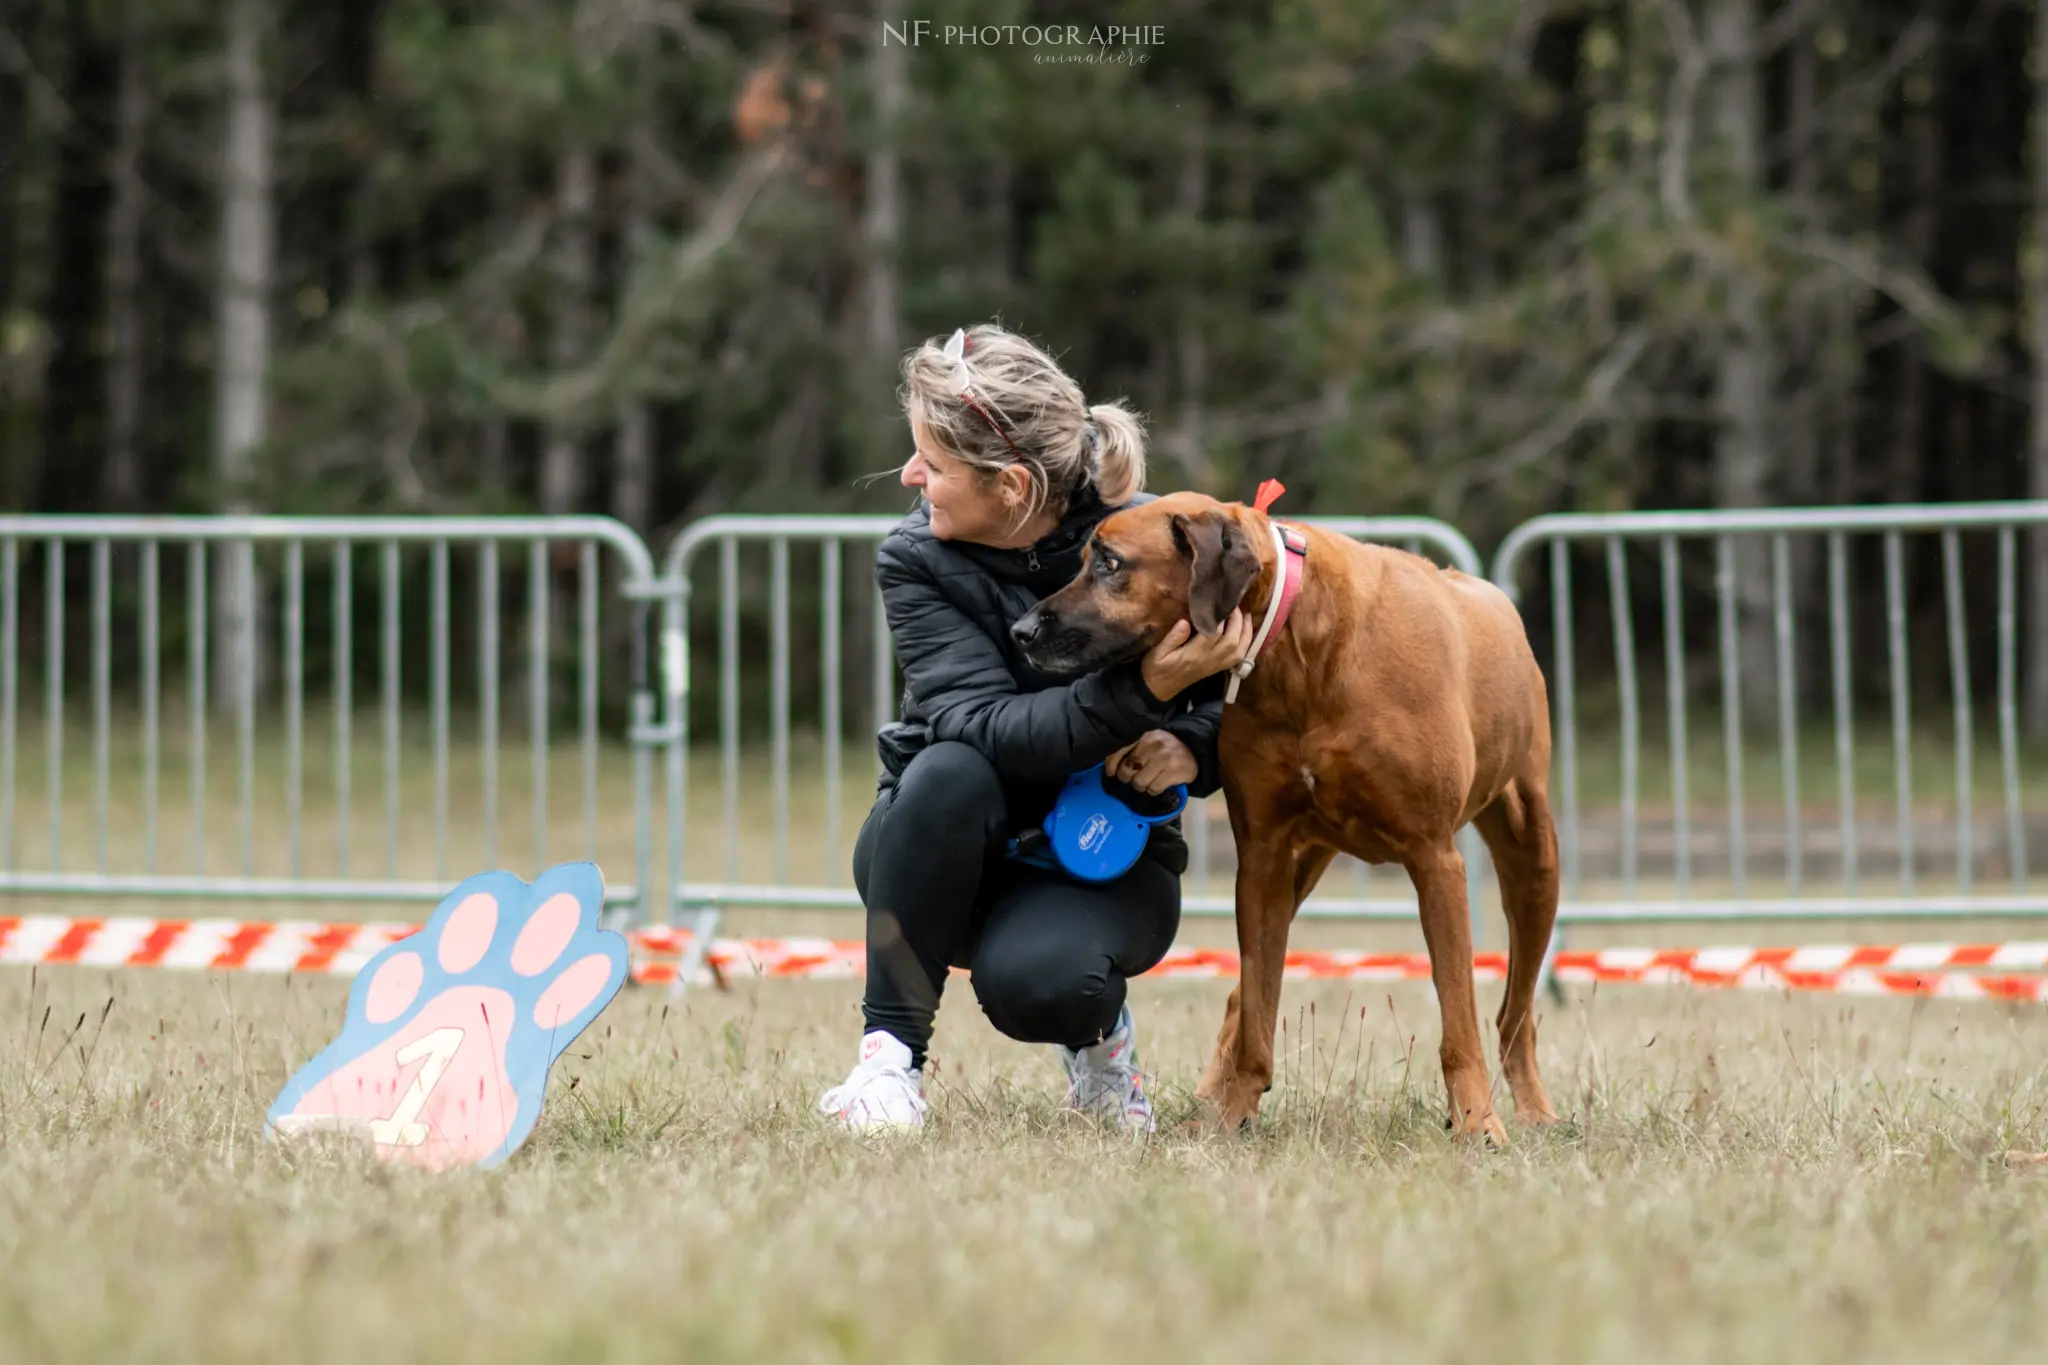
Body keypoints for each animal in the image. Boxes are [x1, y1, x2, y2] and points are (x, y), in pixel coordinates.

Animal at [1011, 491, 1564, 1146]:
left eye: (1110, 563)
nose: (1021, 631)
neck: (1300, 648)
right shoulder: (1264, 860)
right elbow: (1257, 1009)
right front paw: (1230, 1117)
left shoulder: (1436, 860)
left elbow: (1459, 1021)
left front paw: (1477, 1122)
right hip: (1306, 861)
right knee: (1240, 997)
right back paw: (1209, 1097)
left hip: (1534, 858)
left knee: (1515, 1014)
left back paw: (1536, 1112)